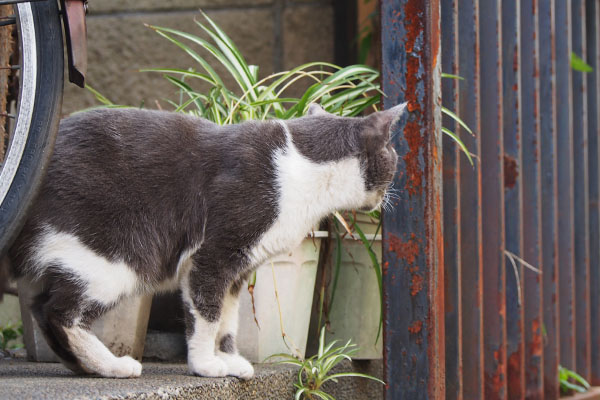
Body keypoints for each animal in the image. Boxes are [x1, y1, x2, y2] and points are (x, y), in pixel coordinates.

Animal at [0, 102, 406, 378]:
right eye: (394, 154)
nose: (391, 192)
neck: (303, 168)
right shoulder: (212, 257)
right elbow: (208, 314)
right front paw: (206, 364)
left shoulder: (239, 269)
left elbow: (228, 319)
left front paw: (228, 358)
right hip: (119, 256)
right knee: (57, 311)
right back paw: (114, 365)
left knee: (41, 307)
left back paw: (90, 367)